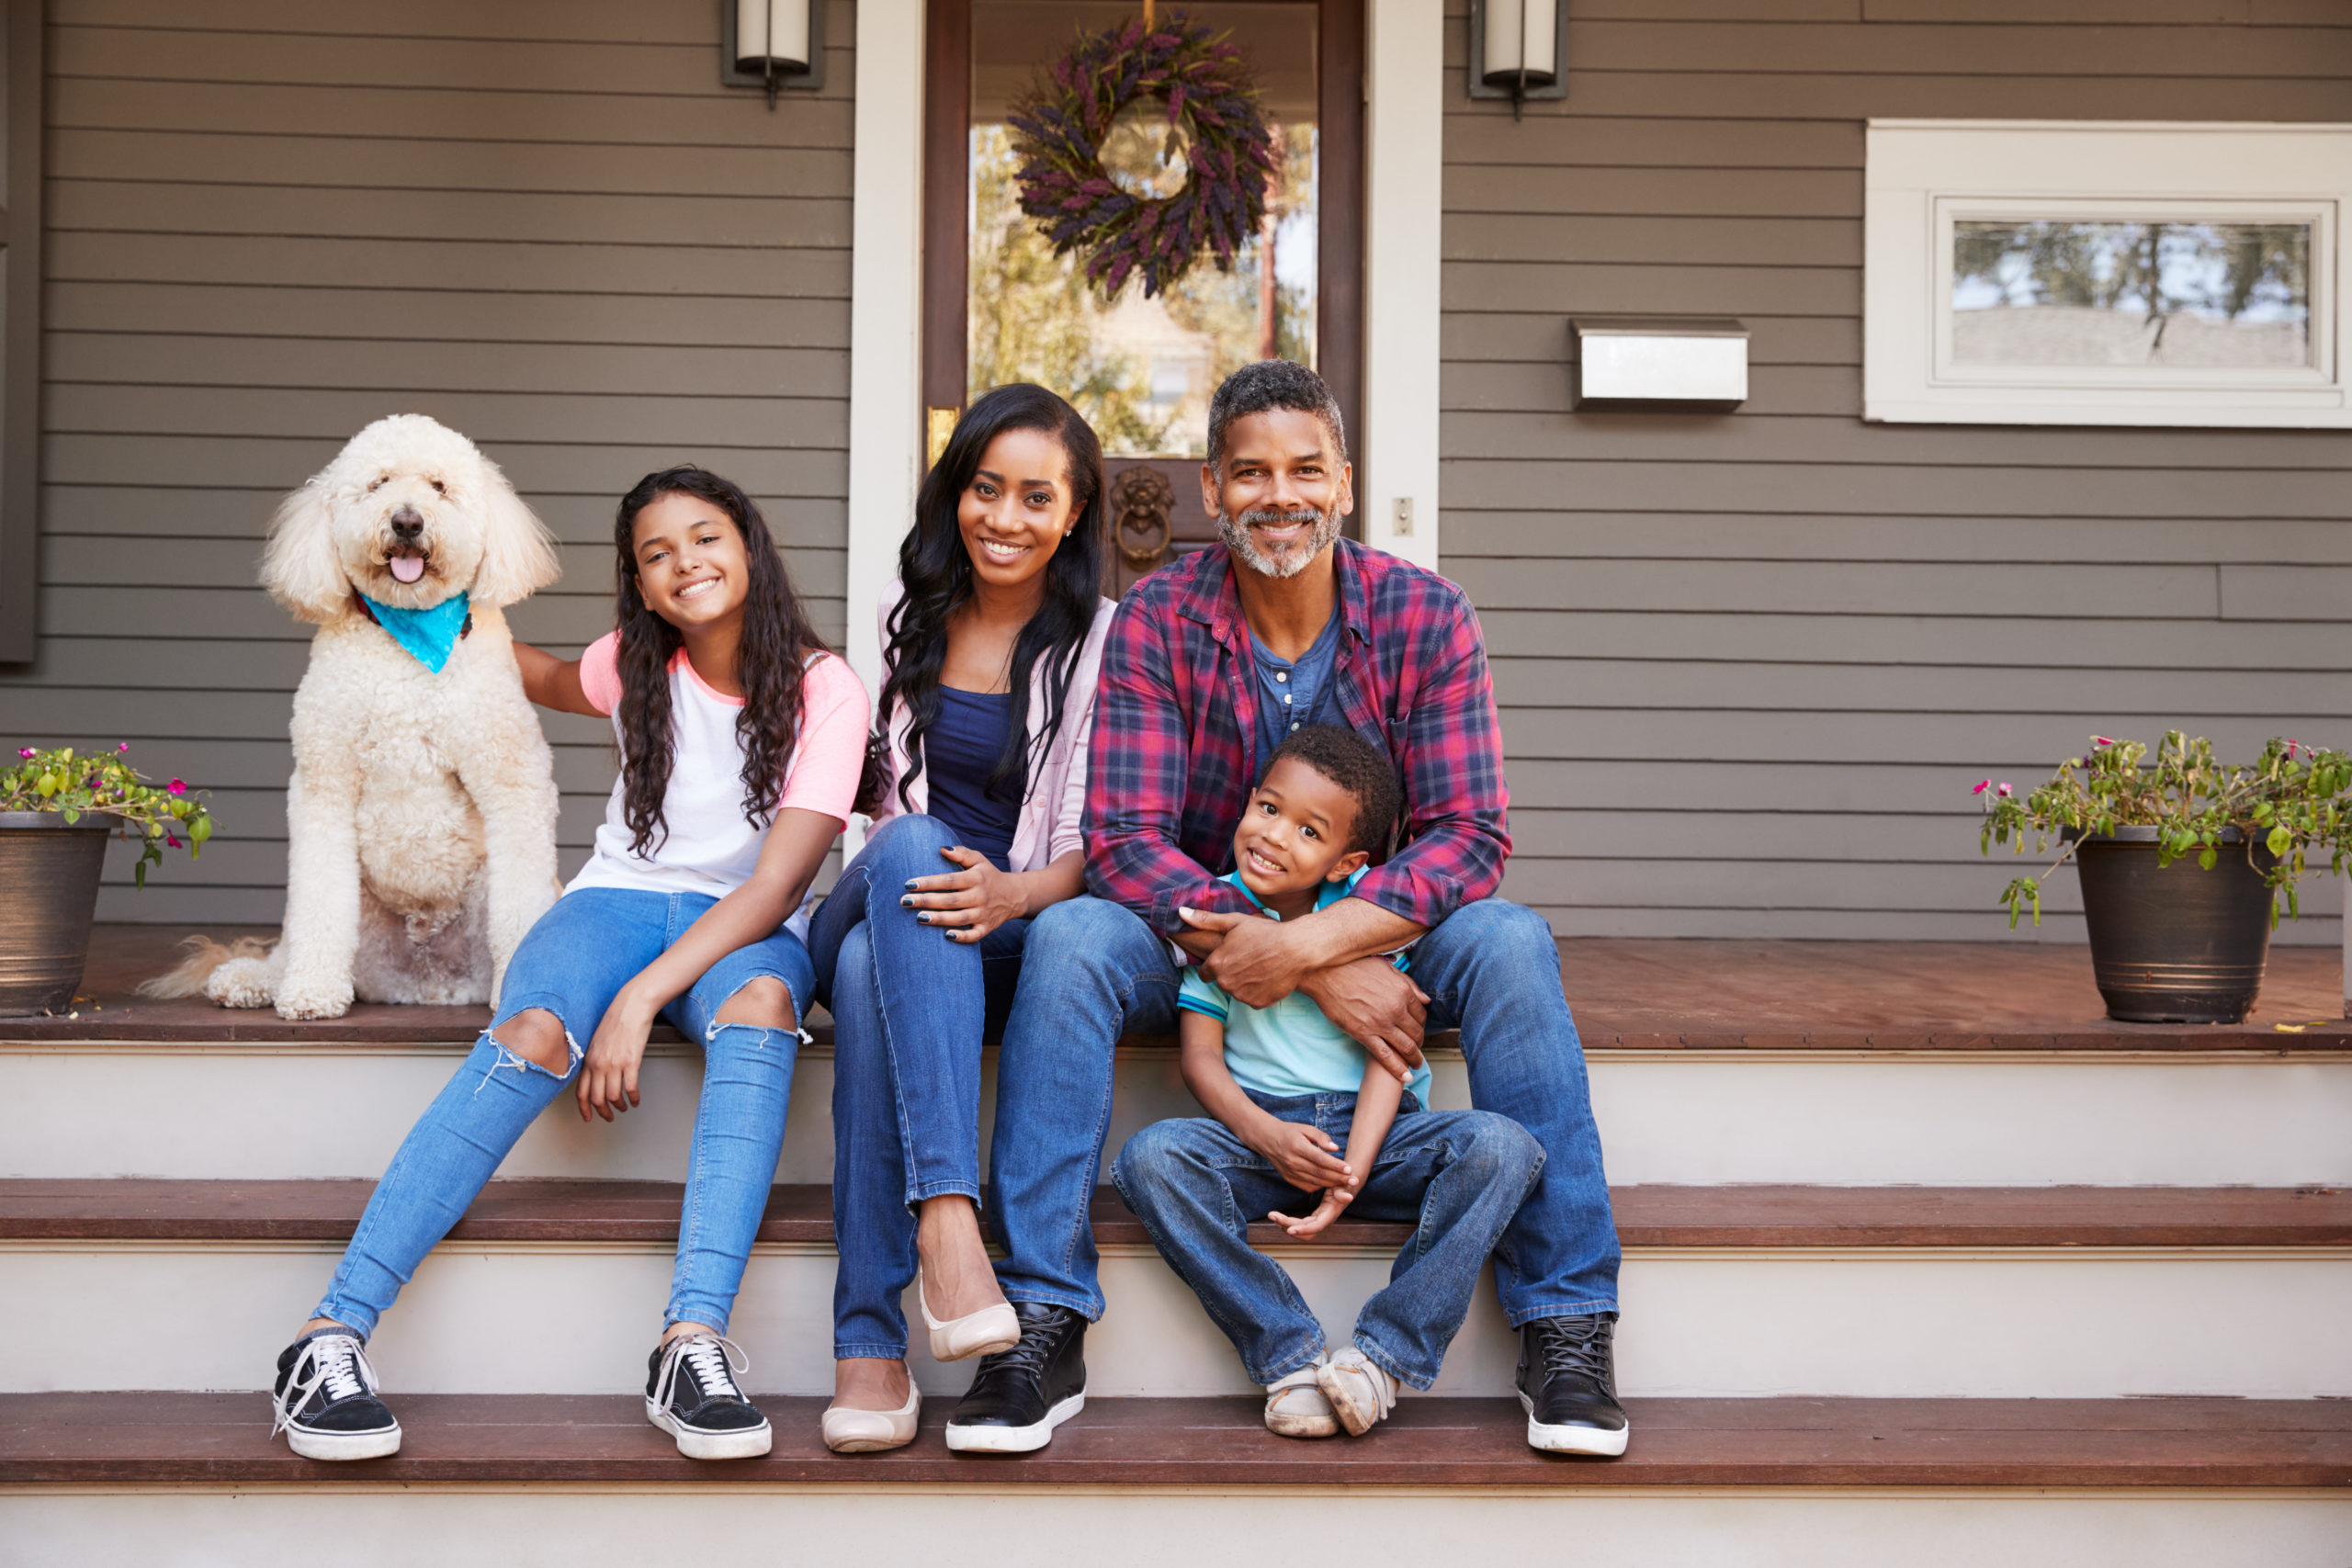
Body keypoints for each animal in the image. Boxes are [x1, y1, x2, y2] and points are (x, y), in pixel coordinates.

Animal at [162, 413, 564, 1020]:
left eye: (439, 486)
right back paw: (258, 979)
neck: (408, 638)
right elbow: (318, 903)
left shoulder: (513, 781)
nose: (406, 521)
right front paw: (310, 992)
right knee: (295, 936)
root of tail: (427, 983)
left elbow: (524, 903)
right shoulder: (323, 785)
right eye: (378, 484)